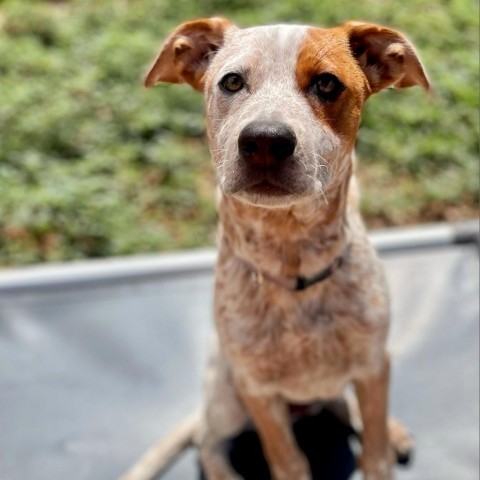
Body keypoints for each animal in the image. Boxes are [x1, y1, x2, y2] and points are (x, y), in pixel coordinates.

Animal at [141, 15, 430, 480]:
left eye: (327, 84)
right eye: (232, 81)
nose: (264, 141)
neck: (292, 258)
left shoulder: (373, 366)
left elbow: (374, 452)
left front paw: (384, 440)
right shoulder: (257, 389)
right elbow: (288, 461)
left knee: (345, 407)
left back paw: (393, 430)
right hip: (226, 398)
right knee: (206, 442)